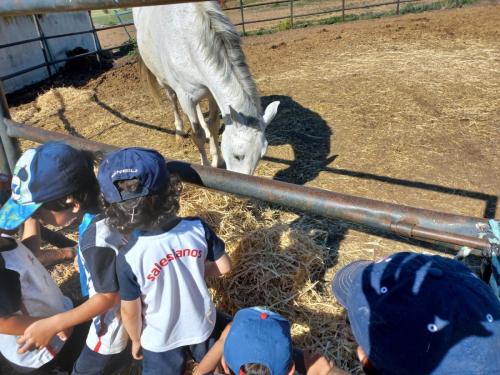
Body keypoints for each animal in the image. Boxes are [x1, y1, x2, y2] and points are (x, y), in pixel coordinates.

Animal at [134, 1, 282, 176]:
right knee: (172, 99)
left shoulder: (212, 93)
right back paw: (179, 131)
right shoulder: (186, 98)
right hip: (163, 79)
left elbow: (213, 125)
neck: (190, 43)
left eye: (261, 155)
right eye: (238, 156)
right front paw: (205, 166)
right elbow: (197, 134)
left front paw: (218, 160)